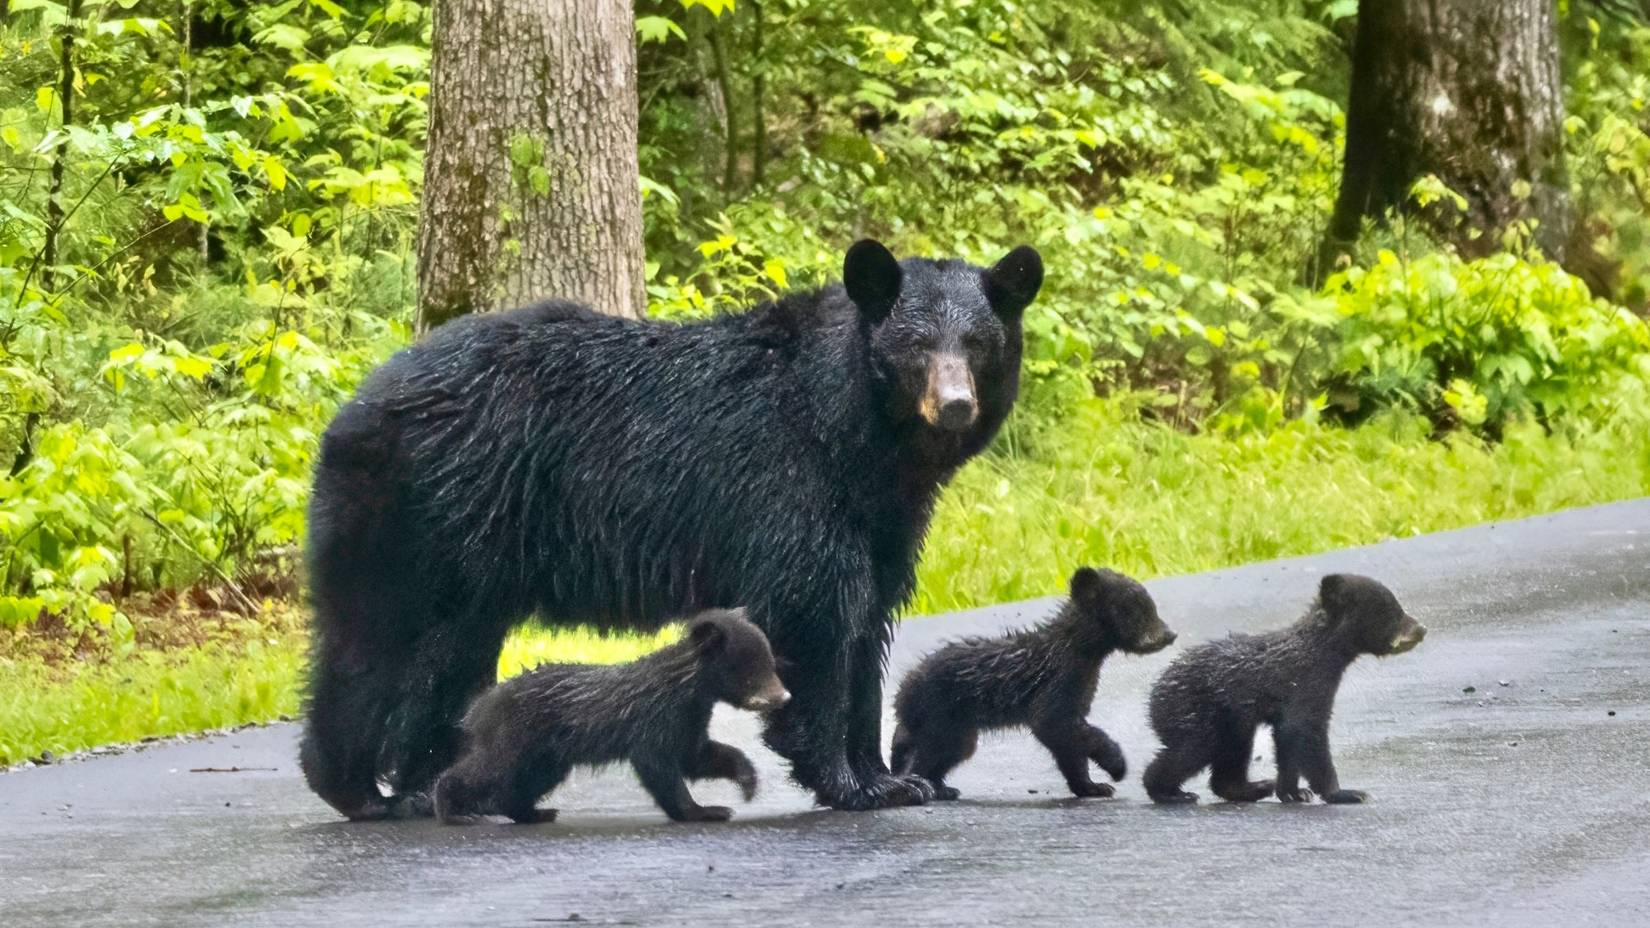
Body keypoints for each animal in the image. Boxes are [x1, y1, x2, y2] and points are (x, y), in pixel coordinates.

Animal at [433, 608, 789, 825]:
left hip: (548, 753)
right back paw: (451, 808)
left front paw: (747, 782)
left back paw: (534, 812)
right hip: (516, 736)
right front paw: (703, 810)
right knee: (489, 769)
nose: (782, 697)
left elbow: (697, 756)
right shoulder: (655, 717)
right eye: (751, 668)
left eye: (770, 661)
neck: (685, 687)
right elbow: (657, 765)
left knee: (526, 781)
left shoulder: (689, 718)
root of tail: (479, 707)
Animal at [890, 567, 1177, 800]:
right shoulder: (1059, 680)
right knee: (931, 751)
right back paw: (924, 785)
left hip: (955, 724)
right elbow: (1051, 722)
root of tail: (902, 694)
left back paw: (942, 786)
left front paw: (1091, 786)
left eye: (1149, 606)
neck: (1081, 651)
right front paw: (1116, 766)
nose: (1170, 635)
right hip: (940, 713)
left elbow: (1068, 743)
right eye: (1137, 609)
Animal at [1143, 574, 1427, 805]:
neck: (1322, 651)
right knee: (1192, 749)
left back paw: (1254, 787)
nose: (1421, 629)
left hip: (1230, 719)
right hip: (1193, 710)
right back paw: (1169, 793)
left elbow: (1287, 739)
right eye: (1393, 610)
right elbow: (1305, 730)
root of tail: (1154, 694)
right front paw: (1345, 793)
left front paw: (1293, 791)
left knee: (1232, 750)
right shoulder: (1306, 682)